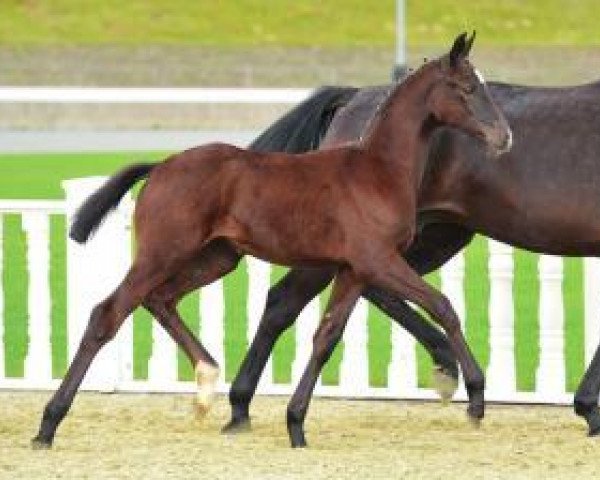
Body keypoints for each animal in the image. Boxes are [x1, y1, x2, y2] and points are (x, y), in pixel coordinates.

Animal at [31, 31, 510, 448]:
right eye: (467, 88)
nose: (504, 137)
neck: (377, 172)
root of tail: (161, 165)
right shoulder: (379, 260)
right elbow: (444, 307)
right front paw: (476, 398)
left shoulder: (353, 270)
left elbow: (326, 336)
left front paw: (296, 424)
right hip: (162, 253)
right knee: (107, 314)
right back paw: (48, 426)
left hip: (217, 257)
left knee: (160, 299)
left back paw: (206, 385)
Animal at [224, 57, 600, 438]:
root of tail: (352, 99)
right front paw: (588, 409)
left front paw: (587, 407)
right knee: (289, 300)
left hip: (435, 236)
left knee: (324, 296)